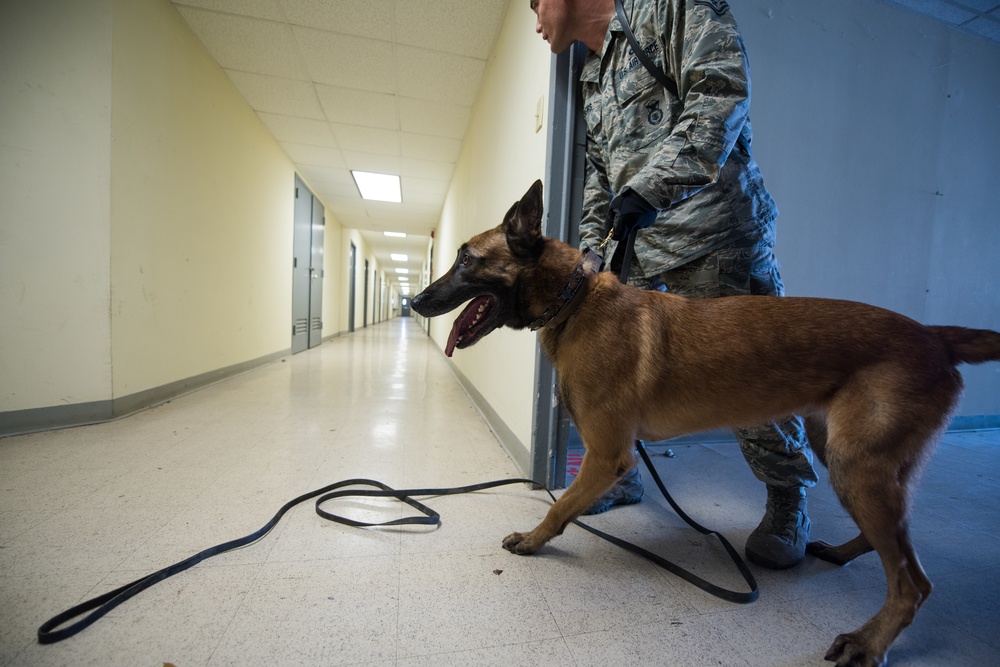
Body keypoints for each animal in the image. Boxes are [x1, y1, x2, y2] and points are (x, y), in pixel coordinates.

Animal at [408, 181, 1000, 667]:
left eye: (466, 259)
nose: (414, 300)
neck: (574, 300)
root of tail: (933, 335)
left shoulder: (607, 452)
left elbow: (559, 505)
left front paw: (535, 540)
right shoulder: (610, 454)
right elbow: (577, 497)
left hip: (858, 466)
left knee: (912, 583)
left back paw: (868, 641)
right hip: (849, 456)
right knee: (894, 541)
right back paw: (846, 554)